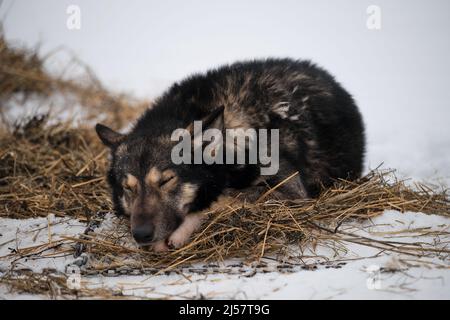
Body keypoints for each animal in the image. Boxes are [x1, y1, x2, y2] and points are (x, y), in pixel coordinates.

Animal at [96, 58, 366, 252]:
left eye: (165, 181)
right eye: (128, 188)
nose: (141, 234)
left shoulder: (293, 192)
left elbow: (223, 197)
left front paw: (183, 229)